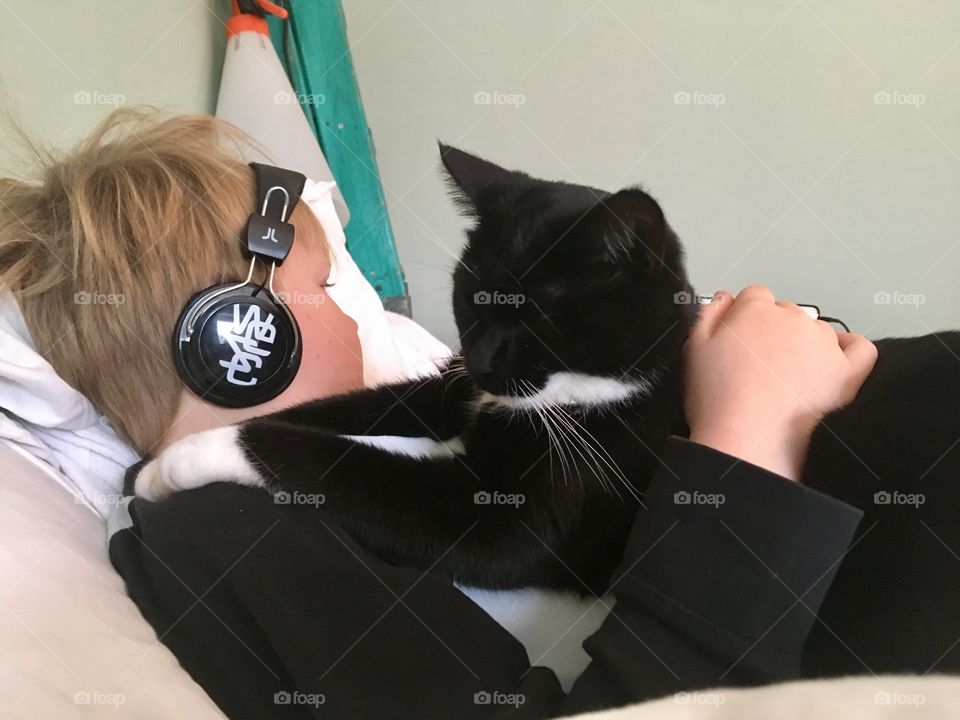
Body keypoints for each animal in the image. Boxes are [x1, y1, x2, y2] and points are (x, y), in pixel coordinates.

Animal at [137, 143, 960, 676]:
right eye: (470, 300)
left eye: (535, 320)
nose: (484, 360)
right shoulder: (453, 394)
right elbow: (368, 404)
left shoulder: (549, 497)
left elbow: (355, 470)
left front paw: (183, 460)